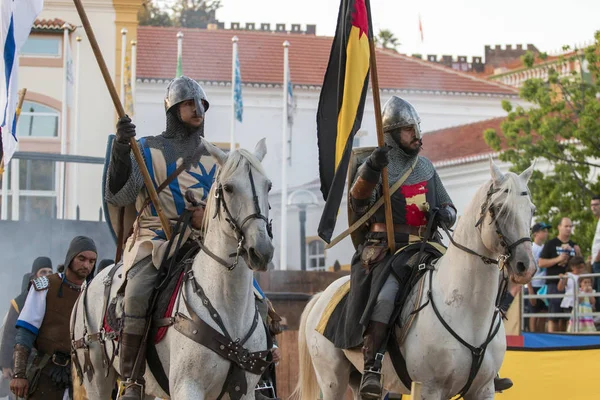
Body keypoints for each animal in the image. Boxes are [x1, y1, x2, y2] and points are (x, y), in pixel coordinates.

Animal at [71, 138, 274, 400]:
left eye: (268, 186)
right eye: (229, 188)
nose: (261, 251)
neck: (229, 306)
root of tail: (90, 284)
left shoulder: (244, 391)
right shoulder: (187, 387)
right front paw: (124, 137)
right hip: (96, 378)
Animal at [296, 160, 540, 400]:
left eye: (531, 210)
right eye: (499, 209)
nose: (525, 266)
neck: (469, 312)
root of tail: (323, 295)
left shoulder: (483, 389)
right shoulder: (430, 389)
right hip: (332, 380)